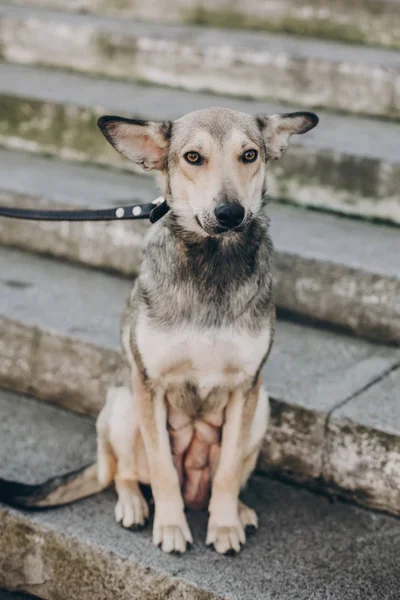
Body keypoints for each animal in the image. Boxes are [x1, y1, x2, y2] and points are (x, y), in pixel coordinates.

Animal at [0, 106, 318, 552]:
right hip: (122, 406)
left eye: (250, 155)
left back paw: (237, 510)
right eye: (192, 157)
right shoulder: (148, 384)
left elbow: (227, 471)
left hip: (261, 410)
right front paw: (170, 526)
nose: (231, 214)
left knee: (227, 475)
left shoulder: (246, 386)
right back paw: (133, 504)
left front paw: (223, 525)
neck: (212, 262)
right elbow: (162, 466)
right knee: (121, 473)